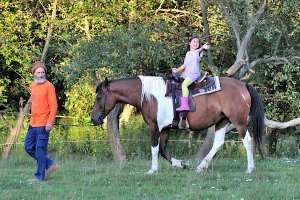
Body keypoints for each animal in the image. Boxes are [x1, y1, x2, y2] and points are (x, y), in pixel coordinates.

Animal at [90, 75, 264, 173]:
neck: (149, 96)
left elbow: (154, 148)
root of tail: (243, 86)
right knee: (218, 143)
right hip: (222, 121)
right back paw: (201, 167)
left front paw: (152, 170)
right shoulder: (165, 128)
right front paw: (181, 164)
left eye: (99, 97)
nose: (93, 119)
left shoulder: (154, 126)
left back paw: (250, 169)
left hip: (239, 122)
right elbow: (162, 149)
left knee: (247, 141)